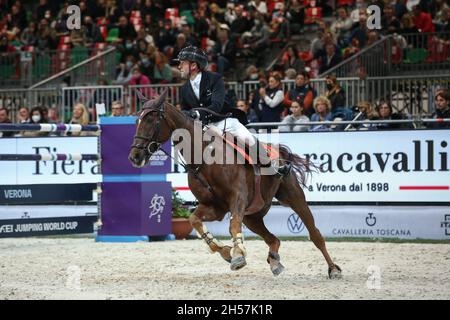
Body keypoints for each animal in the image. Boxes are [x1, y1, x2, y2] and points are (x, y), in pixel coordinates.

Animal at [128, 89, 342, 278]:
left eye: (151, 119)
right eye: (137, 120)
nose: (135, 156)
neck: (204, 157)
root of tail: (279, 151)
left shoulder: (237, 198)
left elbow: (232, 226)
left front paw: (238, 256)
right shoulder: (215, 207)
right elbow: (194, 220)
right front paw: (225, 251)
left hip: (294, 197)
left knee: (315, 235)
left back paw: (333, 269)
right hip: (253, 216)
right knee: (273, 239)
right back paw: (274, 260)